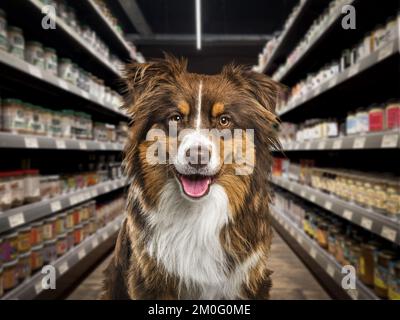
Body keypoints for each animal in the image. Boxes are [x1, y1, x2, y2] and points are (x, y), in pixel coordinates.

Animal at [101, 54, 280, 300]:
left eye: (224, 120)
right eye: (176, 118)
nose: (197, 157)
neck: (197, 211)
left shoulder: (250, 278)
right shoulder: (149, 278)